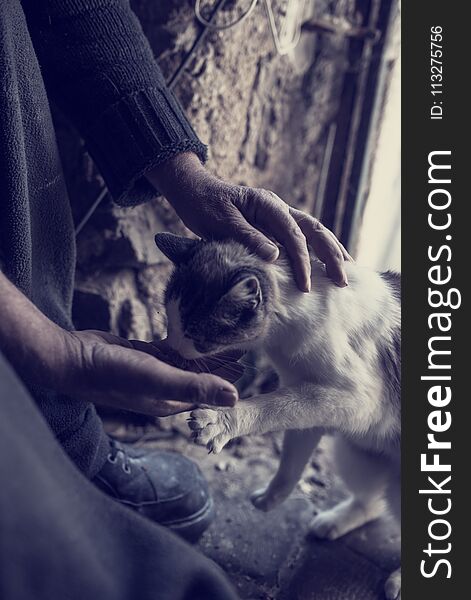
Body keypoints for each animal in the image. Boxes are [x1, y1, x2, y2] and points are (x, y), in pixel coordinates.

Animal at [155, 232, 402, 596]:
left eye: (196, 336)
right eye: (170, 321)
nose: (172, 348)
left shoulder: (355, 399)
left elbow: (273, 407)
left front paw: (222, 421)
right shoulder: (309, 396)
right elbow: (292, 454)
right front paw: (272, 498)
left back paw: (400, 577)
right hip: (356, 455)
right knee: (374, 502)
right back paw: (333, 522)